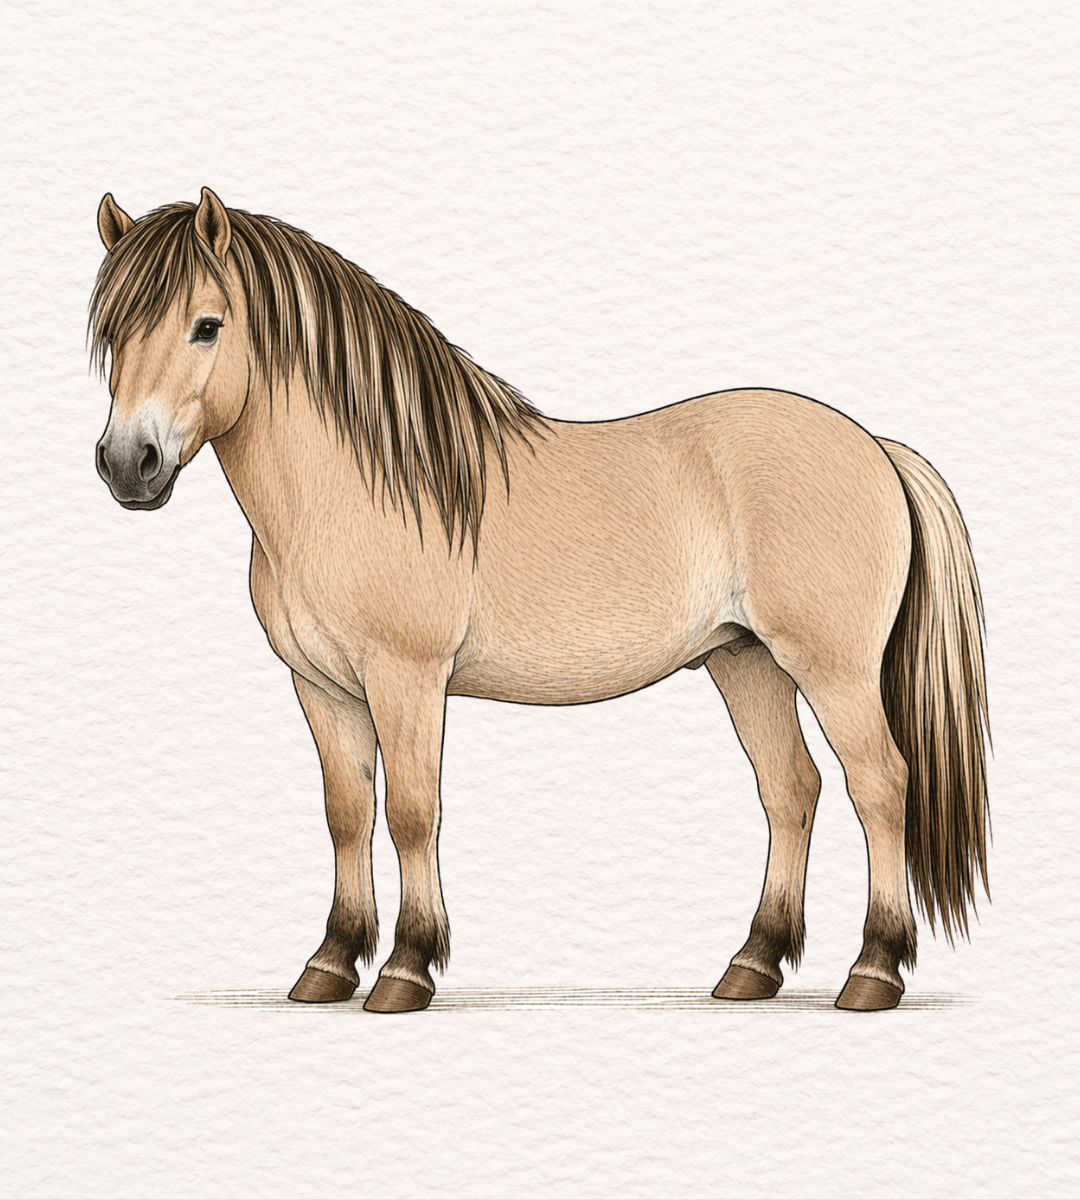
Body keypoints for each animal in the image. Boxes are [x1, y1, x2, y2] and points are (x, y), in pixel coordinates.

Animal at [91, 188, 989, 1013]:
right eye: (112, 332)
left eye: (207, 325)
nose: (129, 463)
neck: (353, 488)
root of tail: (875, 447)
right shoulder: (321, 686)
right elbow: (348, 813)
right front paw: (329, 966)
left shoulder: (406, 678)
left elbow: (412, 811)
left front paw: (406, 971)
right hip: (746, 662)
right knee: (791, 791)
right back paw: (753, 967)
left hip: (831, 668)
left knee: (880, 785)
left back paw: (872, 973)